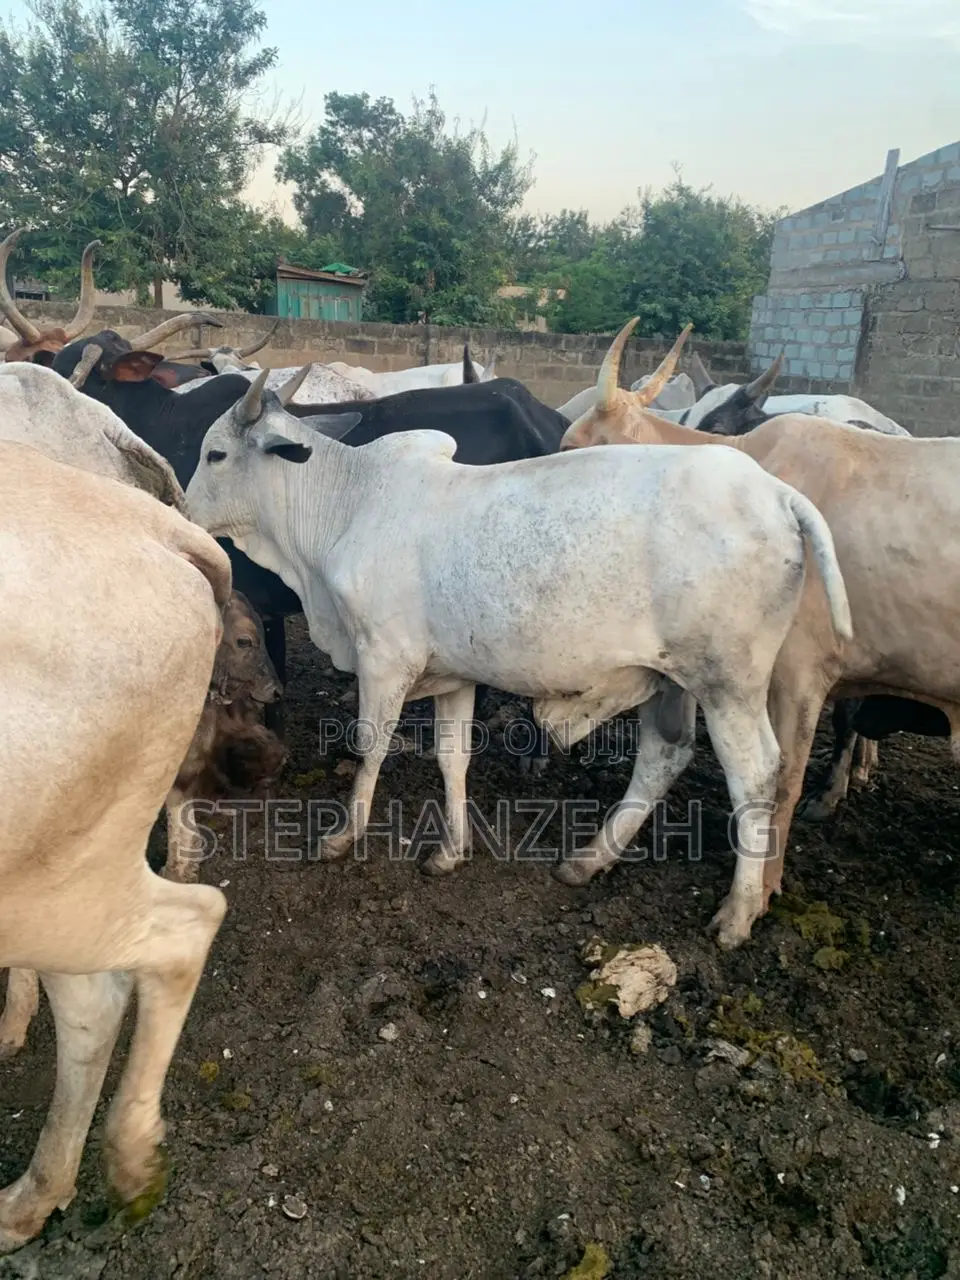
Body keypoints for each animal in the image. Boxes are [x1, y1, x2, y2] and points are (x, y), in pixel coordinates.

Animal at [183, 368, 851, 947]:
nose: (184, 513)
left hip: (728, 683)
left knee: (757, 772)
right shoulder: (451, 672)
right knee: (665, 755)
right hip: (670, 678)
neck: (346, 504)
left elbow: (370, 745)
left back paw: (737, 911)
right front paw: (449, 851)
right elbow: (452, 757)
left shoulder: (384, 658)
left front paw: (343, 836)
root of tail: (778, 494)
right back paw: (588, 860)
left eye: (215, 454)